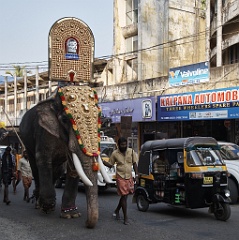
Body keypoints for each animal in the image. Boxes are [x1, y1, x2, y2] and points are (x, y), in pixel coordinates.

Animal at [19, 85, 111, 229]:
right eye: (65, 120)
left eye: (99, 117)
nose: (87, 223)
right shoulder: (43, 131)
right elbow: (43, 159)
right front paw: (47, 207)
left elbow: (73, 167)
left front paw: (71, 215)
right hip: (26, 141)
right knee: (35, 167)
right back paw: (39, 204)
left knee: (57, 171)